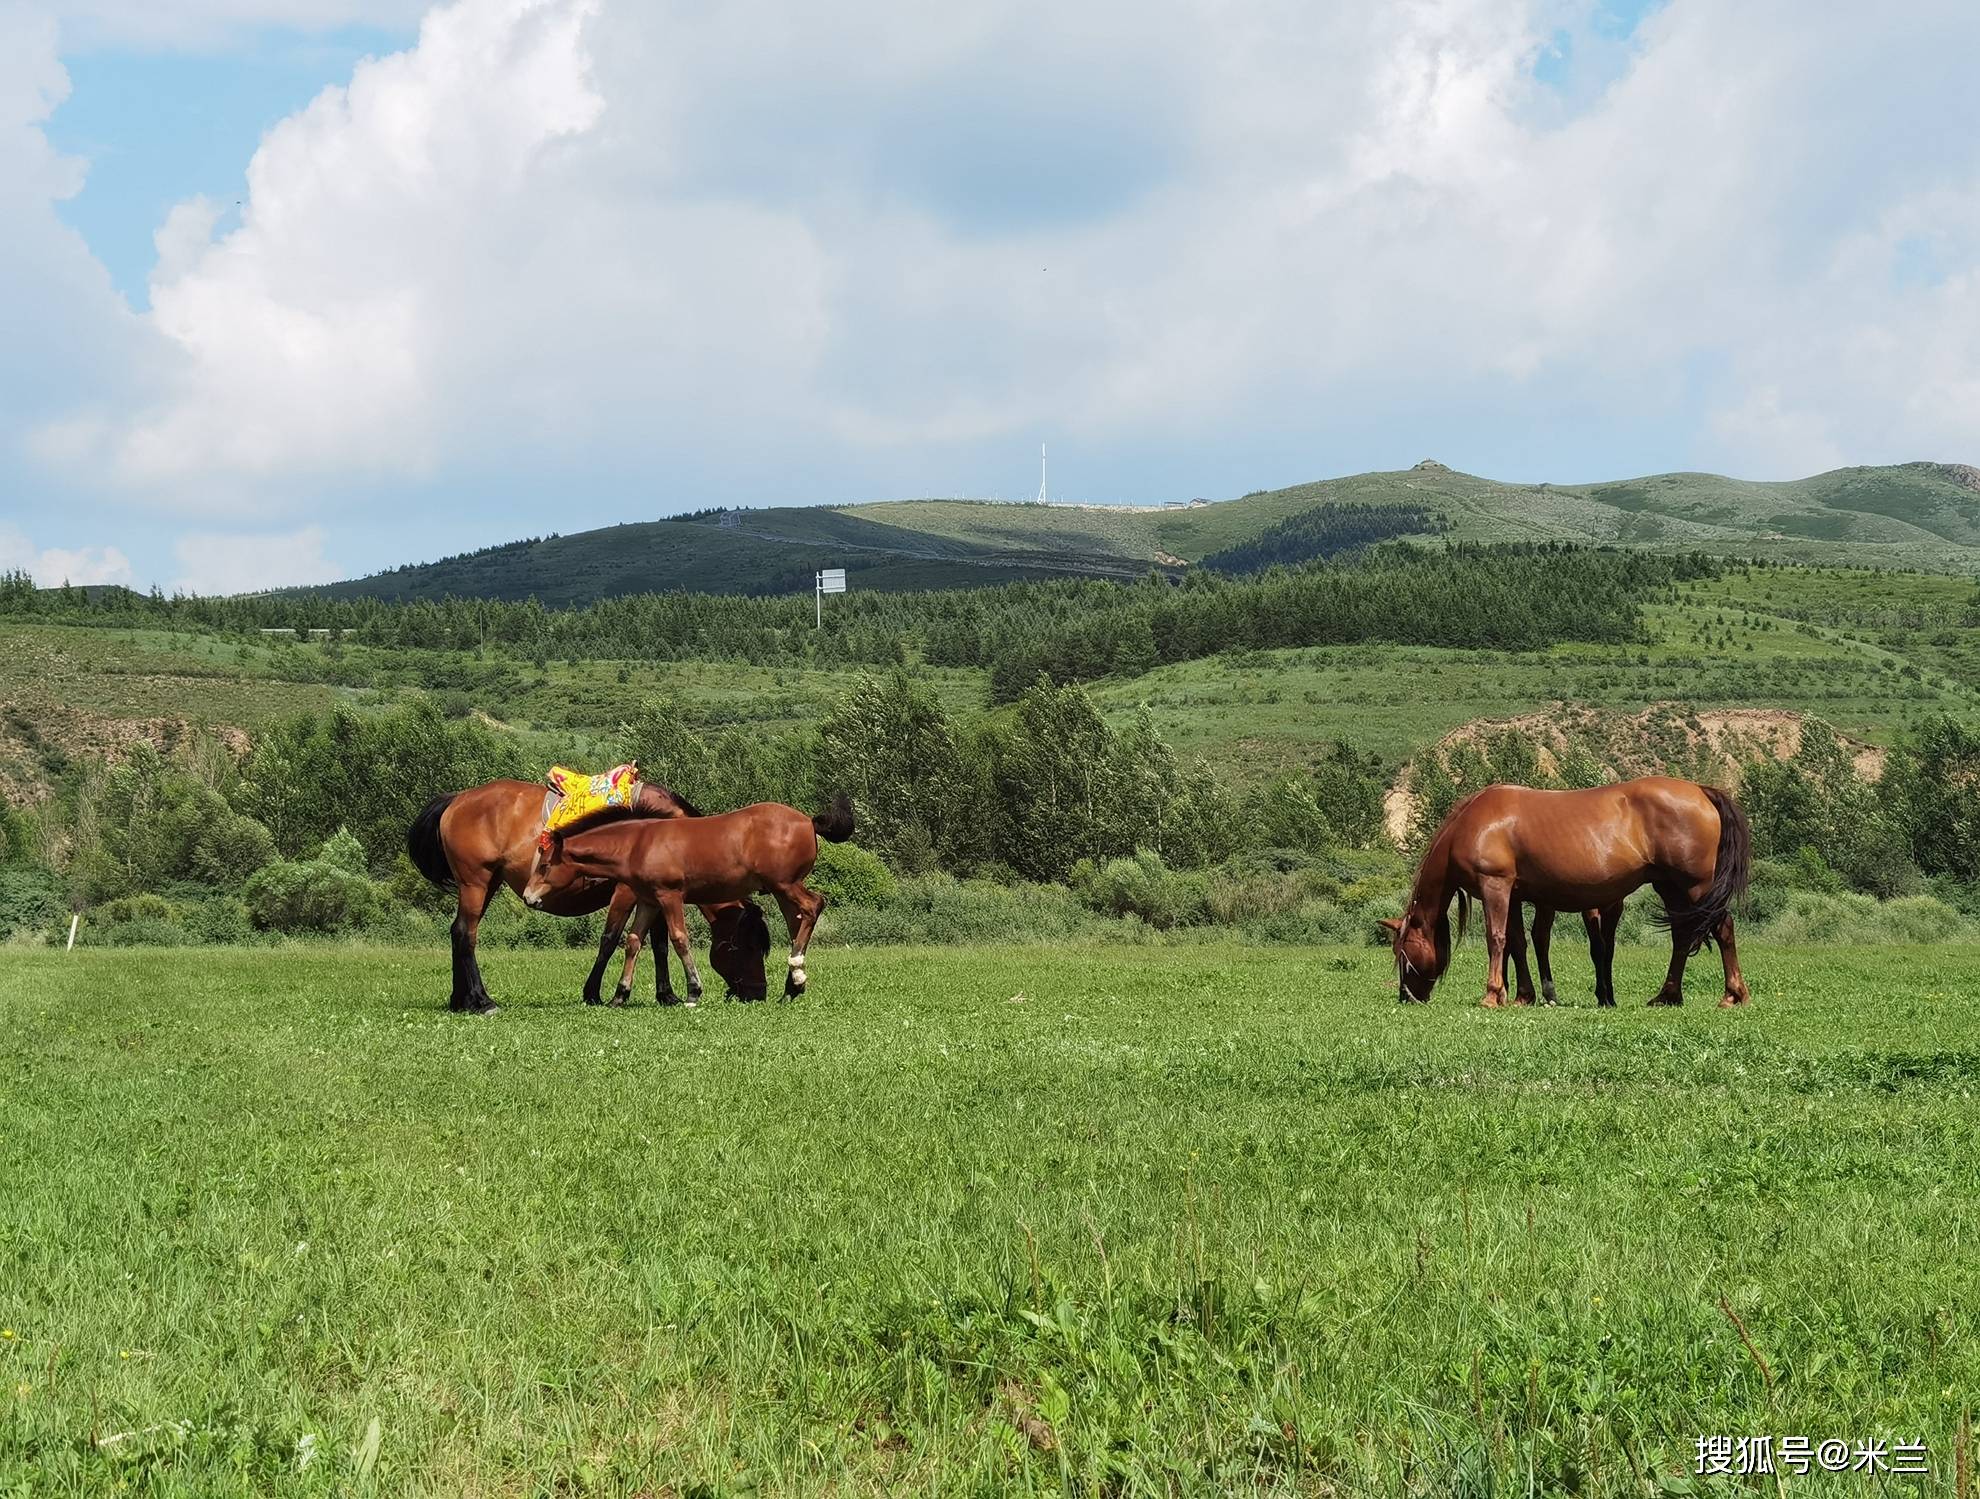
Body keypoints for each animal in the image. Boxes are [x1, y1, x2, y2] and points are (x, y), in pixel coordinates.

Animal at [405, 776, 768, 1009]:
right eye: (747, 947)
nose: (759, 993)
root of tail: (456, 799)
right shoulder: (627, 892)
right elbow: (611, 940)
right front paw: (594, 992)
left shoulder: (656, 892)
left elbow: (659, 943)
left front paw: (666, 995)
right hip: (476, 883)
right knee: (467, 935)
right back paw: (482, 1000)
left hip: (486, 883)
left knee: (457, 932)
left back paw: (460, 1000)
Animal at [522, 796, 855, 1005]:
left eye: (545, 866)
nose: (528, 897)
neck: (639, 844)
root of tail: (809, 821)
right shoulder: (648, 900)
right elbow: (633, 941)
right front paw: (620, 994)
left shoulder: (669, 896)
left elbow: (679, 938)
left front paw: (693, 991)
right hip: (781, 889)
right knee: (796, 921)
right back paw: (791, 988)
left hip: (785, 885)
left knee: (812, 906)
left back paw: (796, 971)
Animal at [1386, 776, 1758, 1009]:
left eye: (1403, 954)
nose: (1407, 996)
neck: (1473, 824)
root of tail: (1701, 790)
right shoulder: (1515, 894)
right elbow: (1517, 943)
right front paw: (1521, 996)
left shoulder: (1496, 886)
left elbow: (1496, 939)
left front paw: (1492, 995)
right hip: (1669, 887)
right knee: (1682, 936)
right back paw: (1667, 995)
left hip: (1696, 886)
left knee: (1723, 929)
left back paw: (1732, 995)